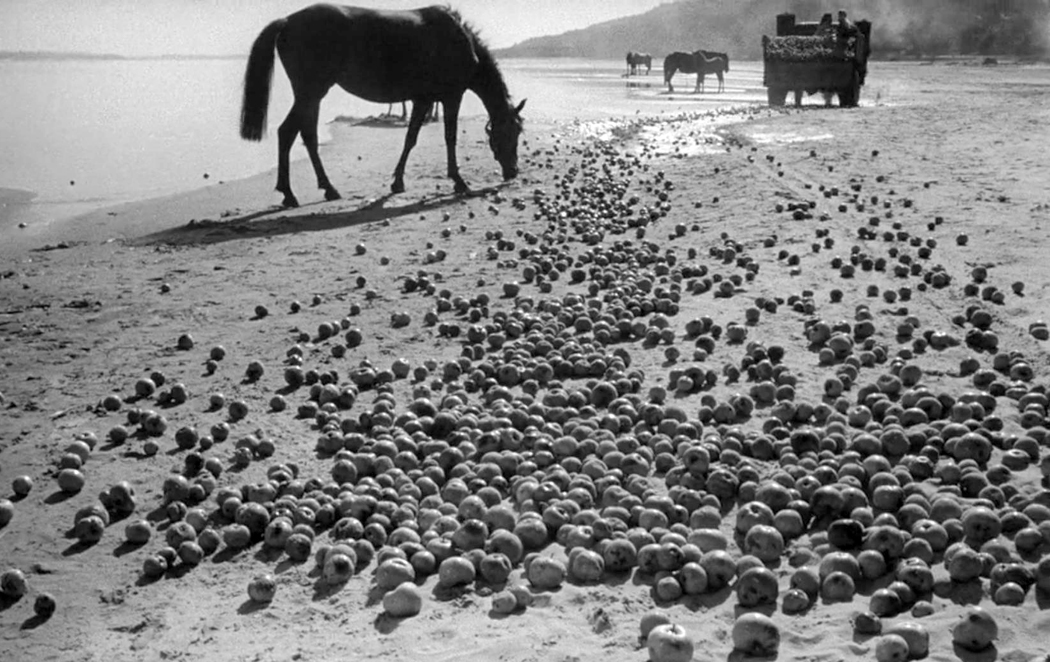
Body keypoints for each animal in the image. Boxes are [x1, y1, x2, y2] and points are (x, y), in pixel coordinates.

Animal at [240, 4, 526, 207]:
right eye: (512, 133)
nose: (513, 171)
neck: (459, 41)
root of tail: (287, 21)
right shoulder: (451, 97)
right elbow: (449, 137)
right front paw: (458, 181)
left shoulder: (423, 100)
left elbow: (410, 138)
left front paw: (397, 182)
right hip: (310, 92)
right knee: (288, 133)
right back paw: (290, 194)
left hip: (311, 95)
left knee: (305, 136)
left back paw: (325, 189)